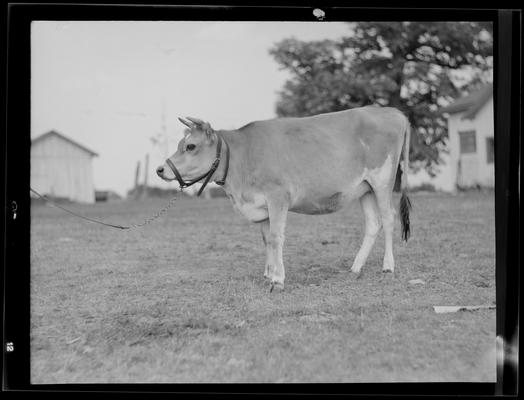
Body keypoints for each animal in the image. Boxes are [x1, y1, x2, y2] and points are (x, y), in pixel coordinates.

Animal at [158, 107, 412, 290]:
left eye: (191, 146)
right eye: (181, 144)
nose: (160, 169)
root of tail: (391, 112)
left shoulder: (278, 197)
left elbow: (276, 237)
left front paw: (278, 280)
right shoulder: (260, 206)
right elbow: (266, 239)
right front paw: (269, 273)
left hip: (382, 180)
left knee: (388, 218)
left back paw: (388, 267)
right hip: (364, 188)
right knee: (373, 223)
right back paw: (356, 268)